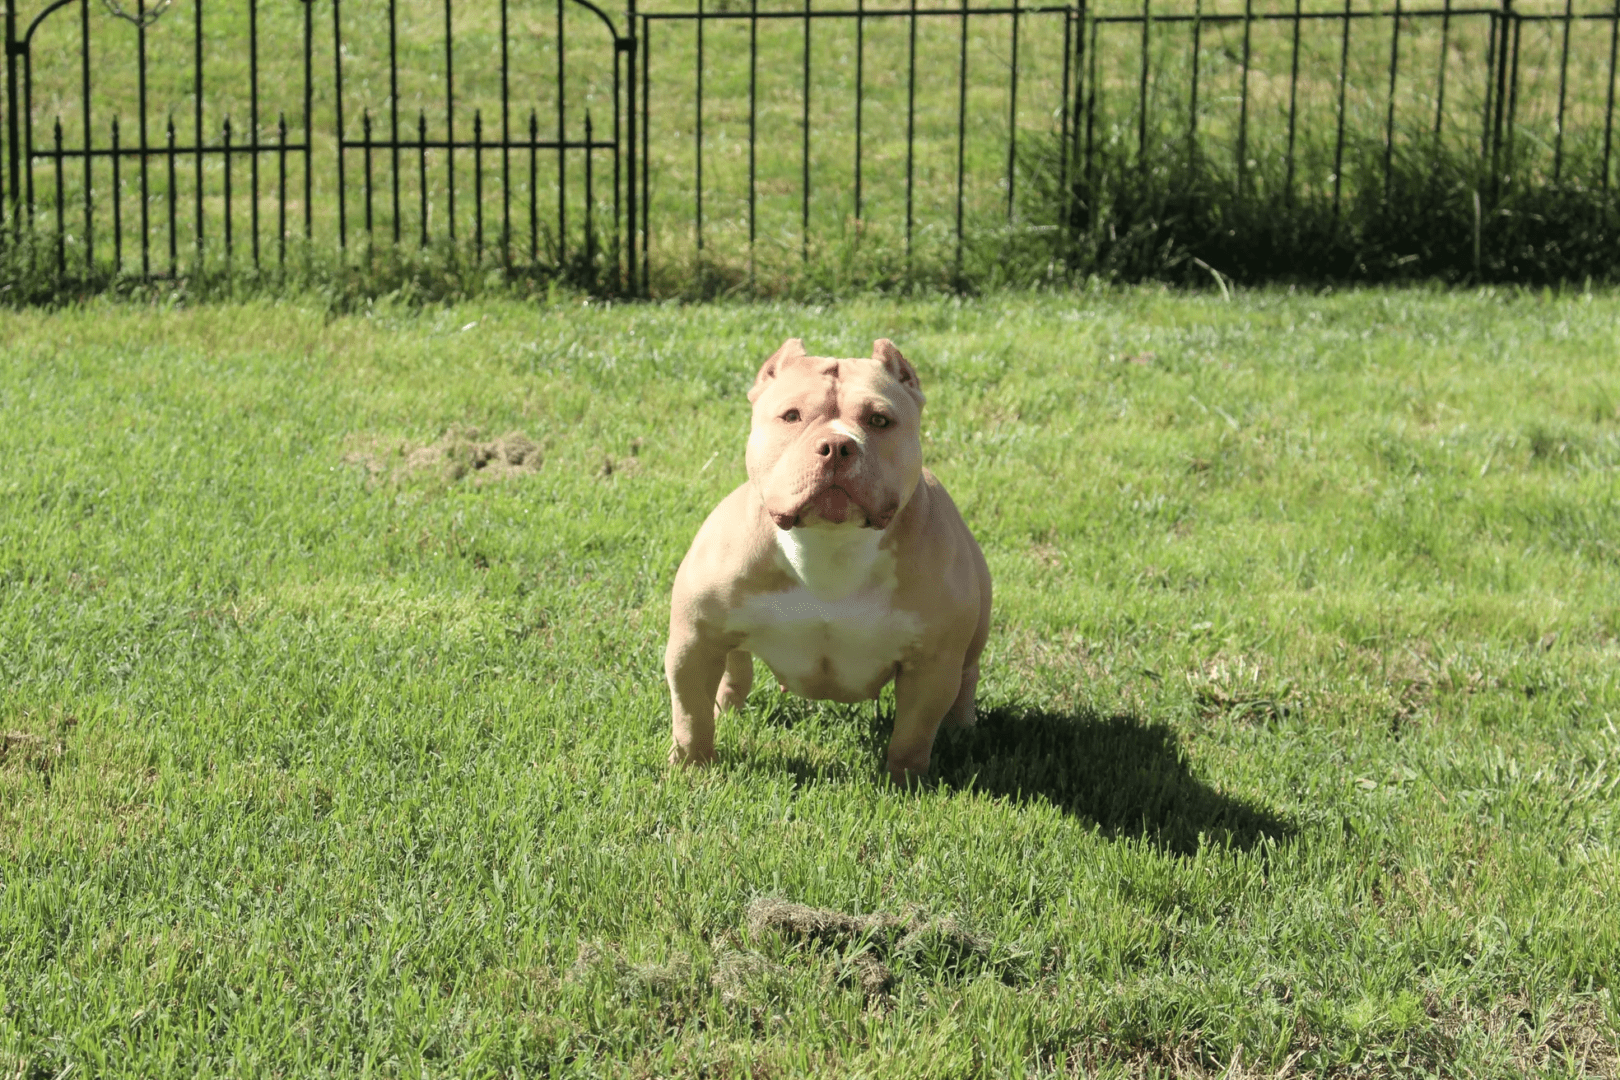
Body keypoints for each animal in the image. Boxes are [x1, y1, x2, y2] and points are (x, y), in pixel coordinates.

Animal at [664, 338, 991, 786]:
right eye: (791, 416)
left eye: (879, 420)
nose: (837, 445)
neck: (829, 544)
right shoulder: (694, 642)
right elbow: (690, 716)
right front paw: (692, 768)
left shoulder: (932, 665)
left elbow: (912, 736)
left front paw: (904, 783)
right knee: (735, 665)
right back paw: (727, 708)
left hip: (976, 627)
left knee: (967, 676)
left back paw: (960, 729)